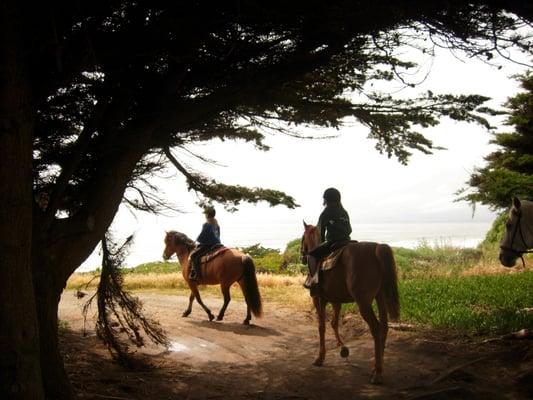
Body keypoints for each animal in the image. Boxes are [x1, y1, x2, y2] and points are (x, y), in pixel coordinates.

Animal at [300, 222, 400, 384]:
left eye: (303, 238)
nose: (302, 255)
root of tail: (376, 248)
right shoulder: (336, 301)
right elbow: (334, 323)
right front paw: (342, 348)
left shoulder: (318, 299)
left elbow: (321, 327)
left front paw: (320, 357)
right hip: (380, 297)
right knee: (384, 327)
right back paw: (377, 368)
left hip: (363, 302)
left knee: (376, 328)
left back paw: (377, 373)